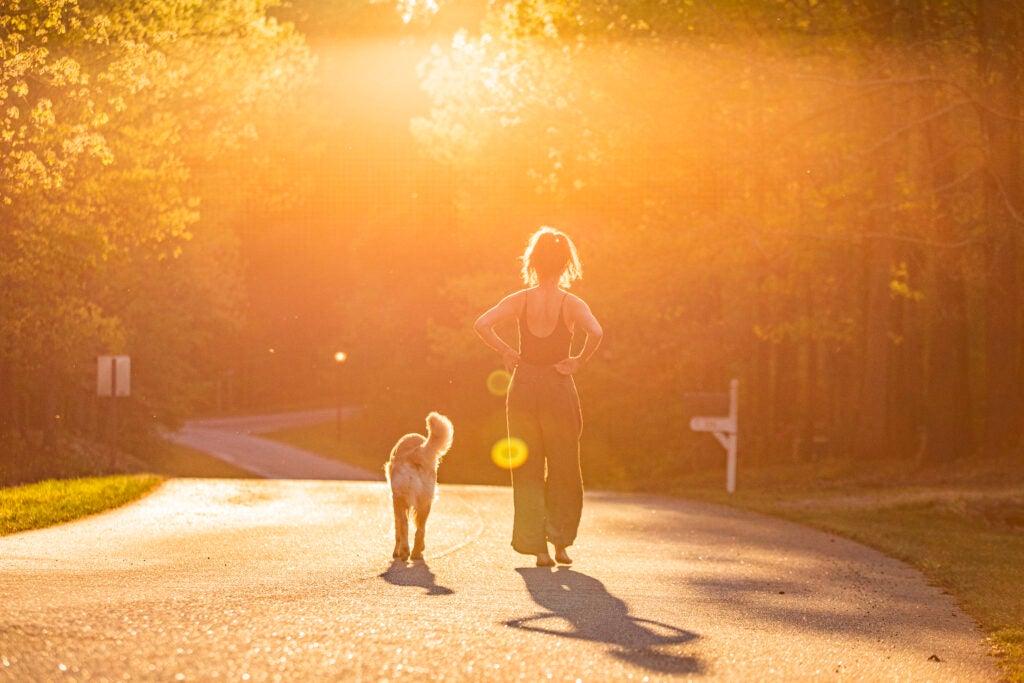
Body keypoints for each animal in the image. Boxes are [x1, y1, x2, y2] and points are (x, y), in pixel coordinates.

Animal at [385, 411, 454, 561]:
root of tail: (416, 453)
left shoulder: (396, 501)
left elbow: (397, 529)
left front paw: (396, 551)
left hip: (401, 500)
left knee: (404, 526)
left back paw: (404, 551)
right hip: (426, 501)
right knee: (420, 529)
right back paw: (416, 552)